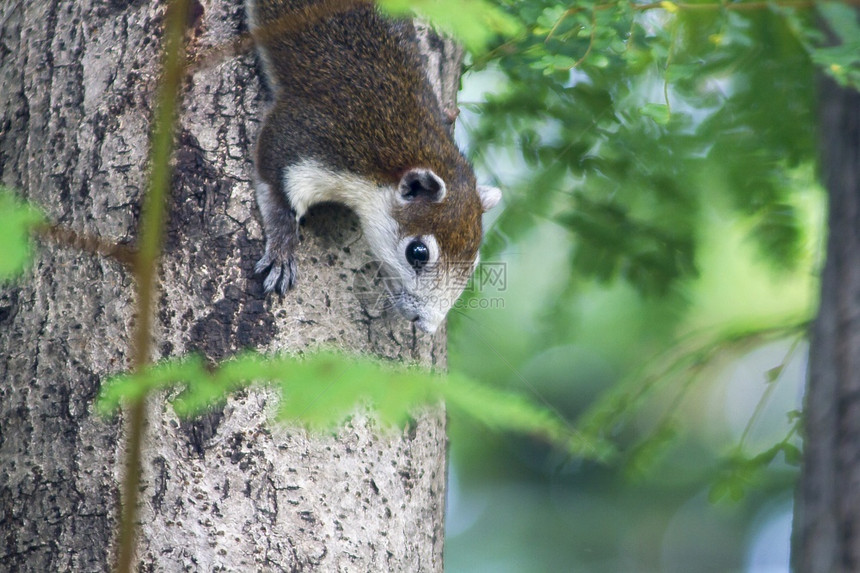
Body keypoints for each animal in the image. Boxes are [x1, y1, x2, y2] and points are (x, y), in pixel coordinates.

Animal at [245, 0, 500, 332]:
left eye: (473, 262)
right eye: (417, 252)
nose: (427, 326)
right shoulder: (311, 137)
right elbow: (274, 180)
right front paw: (282, 249)